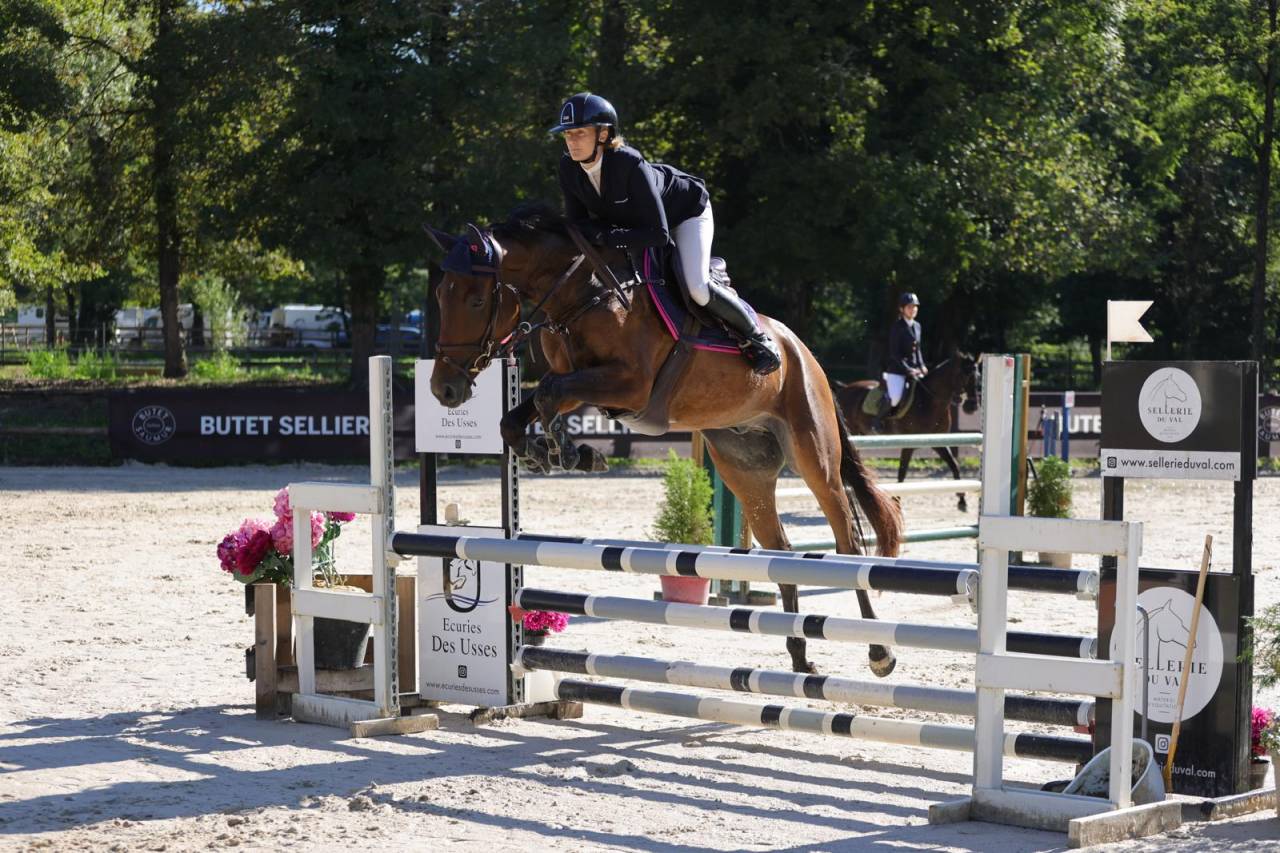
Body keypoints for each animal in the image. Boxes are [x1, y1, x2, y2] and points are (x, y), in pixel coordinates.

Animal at [426, 204, 904, 677]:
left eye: (475, 300)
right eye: (441, 297)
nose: (444, 390)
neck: (582, 296)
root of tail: (802, 352)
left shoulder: (628, 386)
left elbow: (548, 394)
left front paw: (568, 451)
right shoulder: (584, 385)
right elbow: (519, 416)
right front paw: (556, 454)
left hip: (812, 453)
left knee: (847, 544)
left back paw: (879, 653)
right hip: (744, 468)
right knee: (780, 550)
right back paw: (801, 657)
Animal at [834, 354, 980, 511]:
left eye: (978, 376)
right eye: (965, 375)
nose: (971, 407)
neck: (929, 400)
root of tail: (845, 389)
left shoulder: (937, 442)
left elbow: (954, 465)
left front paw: (962, 500)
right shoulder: (908, 444)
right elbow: (902, 474)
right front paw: (896, 502)